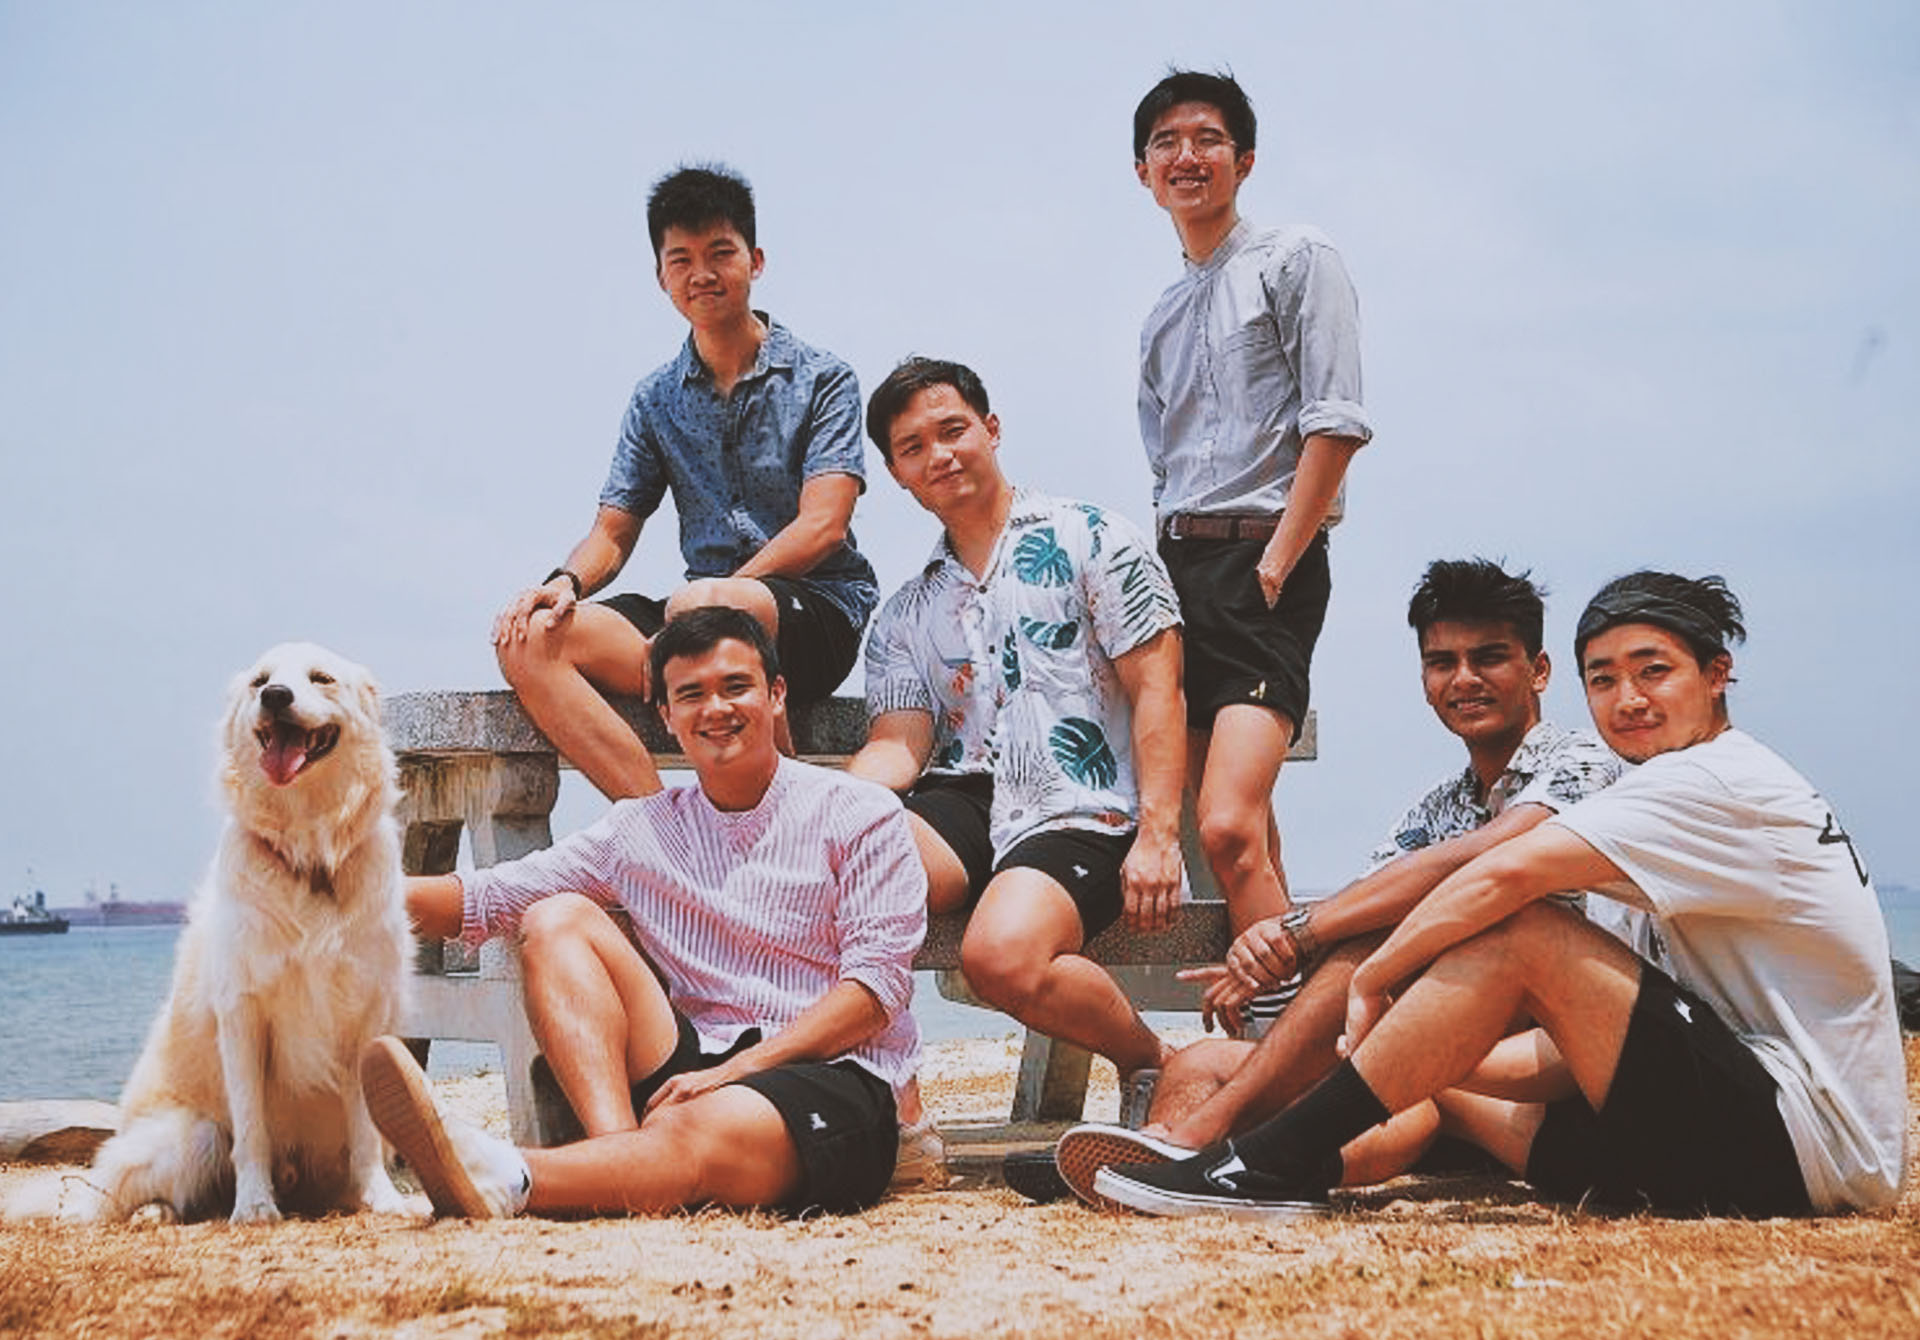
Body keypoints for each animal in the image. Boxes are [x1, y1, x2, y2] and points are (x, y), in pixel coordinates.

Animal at [27, 644, 412, 1223]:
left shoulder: (368, 1014)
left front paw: (381, 1197)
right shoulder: (243, 1012)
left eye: (321, 678)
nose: (276, 696)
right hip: (191, 1136)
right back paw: (147, 1212)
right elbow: (252, 1128)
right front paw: (254, 1207)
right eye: (260, 681)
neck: (308, 855)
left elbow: (366, 1131)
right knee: (104, 1196)